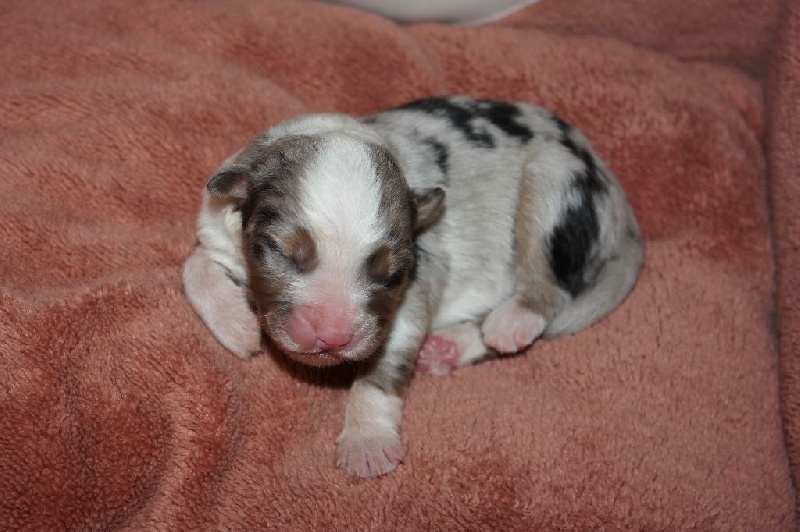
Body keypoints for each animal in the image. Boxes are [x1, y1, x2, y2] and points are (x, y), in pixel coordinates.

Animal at [183, 96, 644, 478]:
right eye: (282, 251)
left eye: (391, 274)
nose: (333, 337)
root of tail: (620, 204)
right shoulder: (215, 228)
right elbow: (193, 265)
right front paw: (238, 326)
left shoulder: (412, 293)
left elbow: (385, 358)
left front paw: (367, 440)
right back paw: (448, 347)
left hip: (554, 178)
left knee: (550, 289)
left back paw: (511, 322)